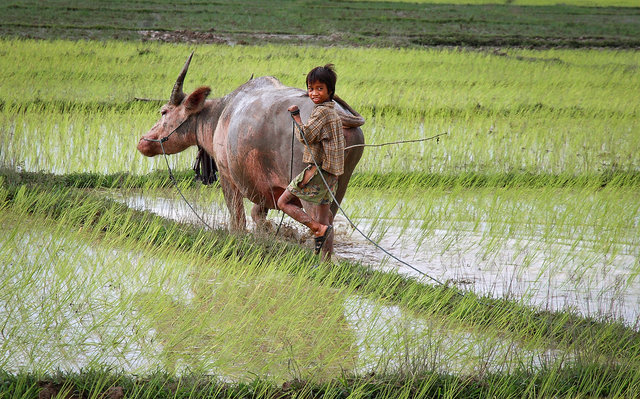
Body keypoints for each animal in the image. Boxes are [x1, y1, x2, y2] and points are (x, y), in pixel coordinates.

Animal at [136, 54, 364, 256]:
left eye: (164, 112)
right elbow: (257, 214)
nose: (143, 142)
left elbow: (238, 220)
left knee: (323, 228)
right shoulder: (266, 188)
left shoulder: (227, 177)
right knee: (328, 222)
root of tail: (339, 114)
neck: (220, 116)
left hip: (310, 188)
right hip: (336, 191)